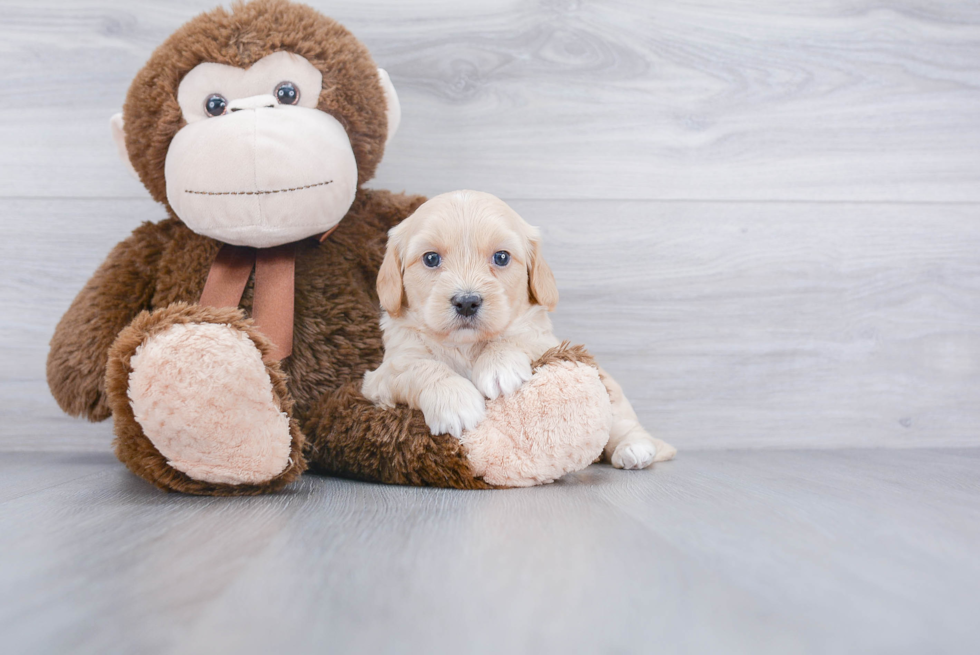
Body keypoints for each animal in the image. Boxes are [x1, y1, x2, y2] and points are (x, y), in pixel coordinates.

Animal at [364, 187, 668, 468]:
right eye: (430, 259)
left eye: (501, 257)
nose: (467, 302)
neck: (466, 346)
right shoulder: (381, 376)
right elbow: (420, 366)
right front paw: (455, 401)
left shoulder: (546, 340)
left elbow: (518, 336)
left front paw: (499, 365)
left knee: (622, 422)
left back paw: (634, 447)